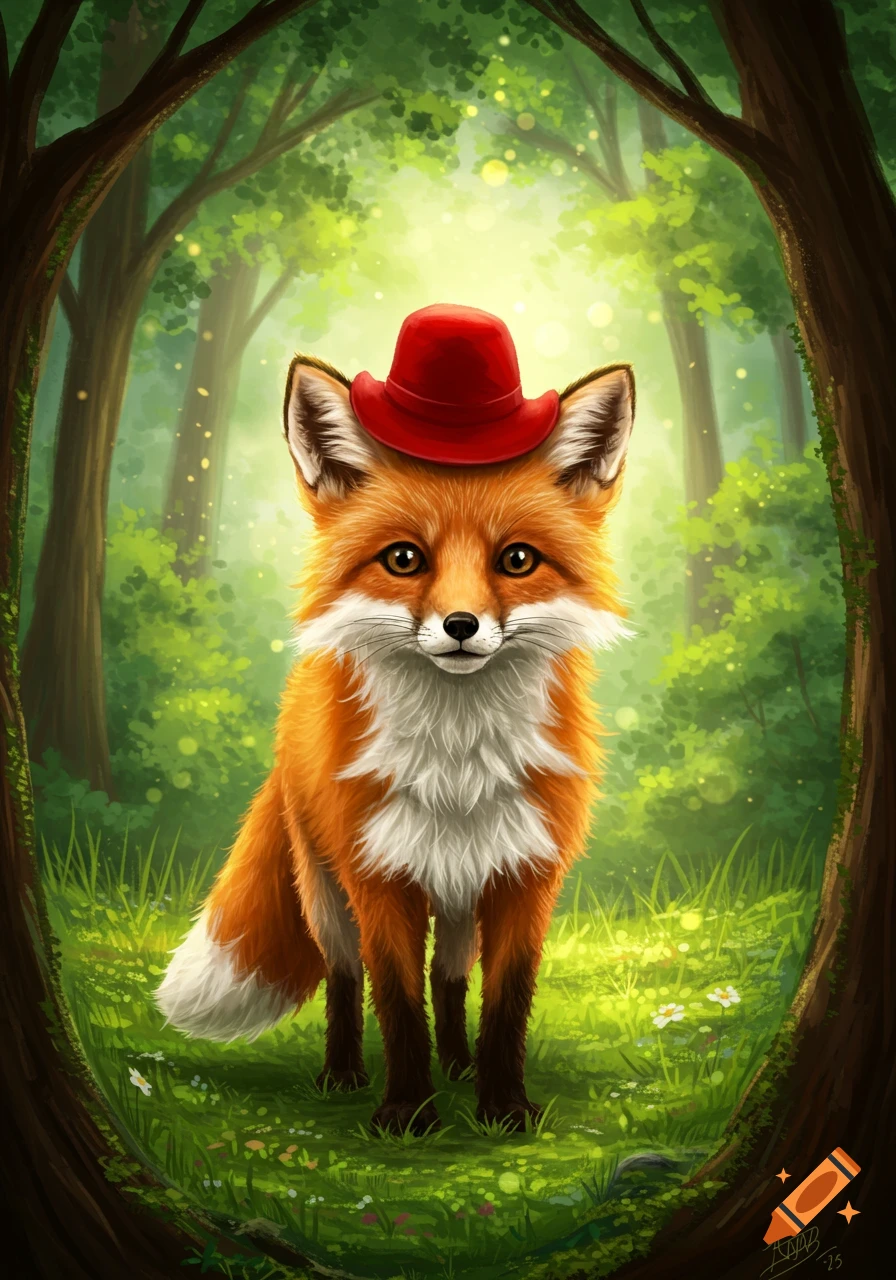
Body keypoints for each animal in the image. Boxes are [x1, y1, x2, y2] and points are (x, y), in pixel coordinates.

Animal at [156, 322, 636, 1136]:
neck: (459, 760)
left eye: (517, 559)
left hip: (462, 895)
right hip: (324, 889)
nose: (461, 626)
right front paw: (409, 1113)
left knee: (451, 977)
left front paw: (503, 1107)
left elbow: (503, 1004)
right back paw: (343, 1073)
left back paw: (460, 1066)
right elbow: (396, 1000)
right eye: (404, 558)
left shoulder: (524, 876)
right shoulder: (377, 875)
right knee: (344, 979)